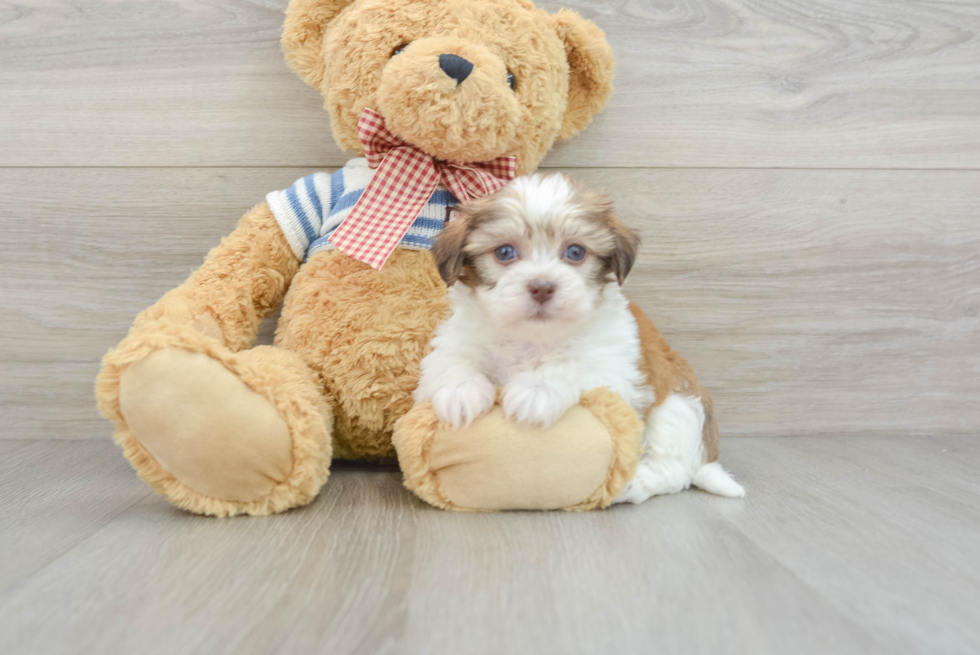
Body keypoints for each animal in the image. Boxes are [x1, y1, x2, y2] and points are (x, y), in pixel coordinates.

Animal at [414, 174, 744, 502]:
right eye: (505, 252)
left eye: (575, 252)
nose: (542, 286)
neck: (533, 339)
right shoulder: (455, 340)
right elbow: (452, 361)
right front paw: (461, 392)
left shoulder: (612, 365)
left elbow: (572, 364)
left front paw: (538, 389)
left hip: (679, 408)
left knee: (674, 469)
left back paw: (633, 483)